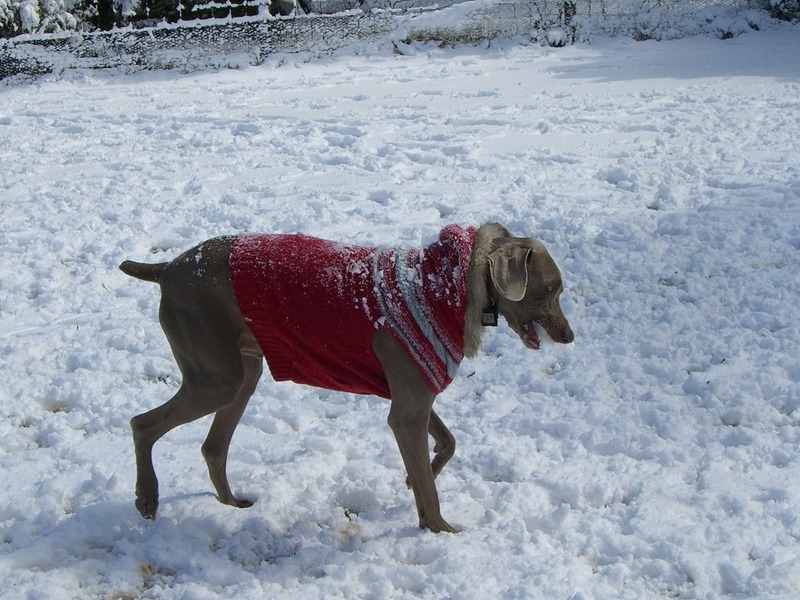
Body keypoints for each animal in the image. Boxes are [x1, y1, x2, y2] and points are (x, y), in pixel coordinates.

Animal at [119, 223, 572, 532]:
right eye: (551, 288)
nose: (569, 337)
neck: (448, 286)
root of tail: (169, 268)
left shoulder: (415, 396)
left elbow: (447, 444)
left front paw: (413, 481)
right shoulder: (407, 412)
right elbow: (431, 491)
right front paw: (442, 531)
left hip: (242, 371)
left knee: (212, 447)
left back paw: (230, 503)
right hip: (216, 377)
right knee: (142, 424)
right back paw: (147, 499)